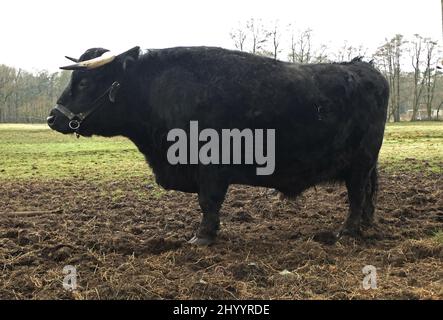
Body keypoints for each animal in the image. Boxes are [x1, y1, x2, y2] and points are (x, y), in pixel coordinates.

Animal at [46, 45, 390, 245]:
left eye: (84, 83)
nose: (53, 117)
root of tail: (363, 67)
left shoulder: (210, 167)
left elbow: (208, 202)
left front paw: (203, 237)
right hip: (365, 165)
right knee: (368, 194)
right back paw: (366, 225)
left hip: (359, 163)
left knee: (357, 196)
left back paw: (348, 231)